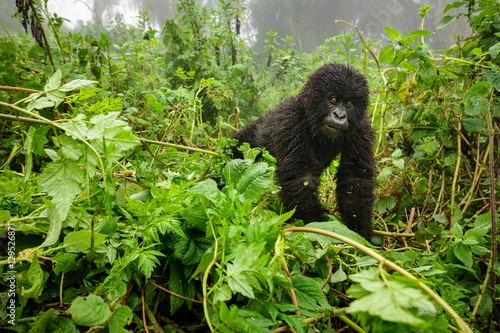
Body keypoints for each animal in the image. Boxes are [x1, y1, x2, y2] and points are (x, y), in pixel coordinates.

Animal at [232, 63, 376, 239]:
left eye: (349, 103)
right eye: (333, 99)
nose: (340, 115)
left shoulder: (361, 128)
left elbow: (354, 178)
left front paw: (359, 230)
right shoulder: (290, 120)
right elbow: (301, 179)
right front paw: (317, 227)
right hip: (250, 140)